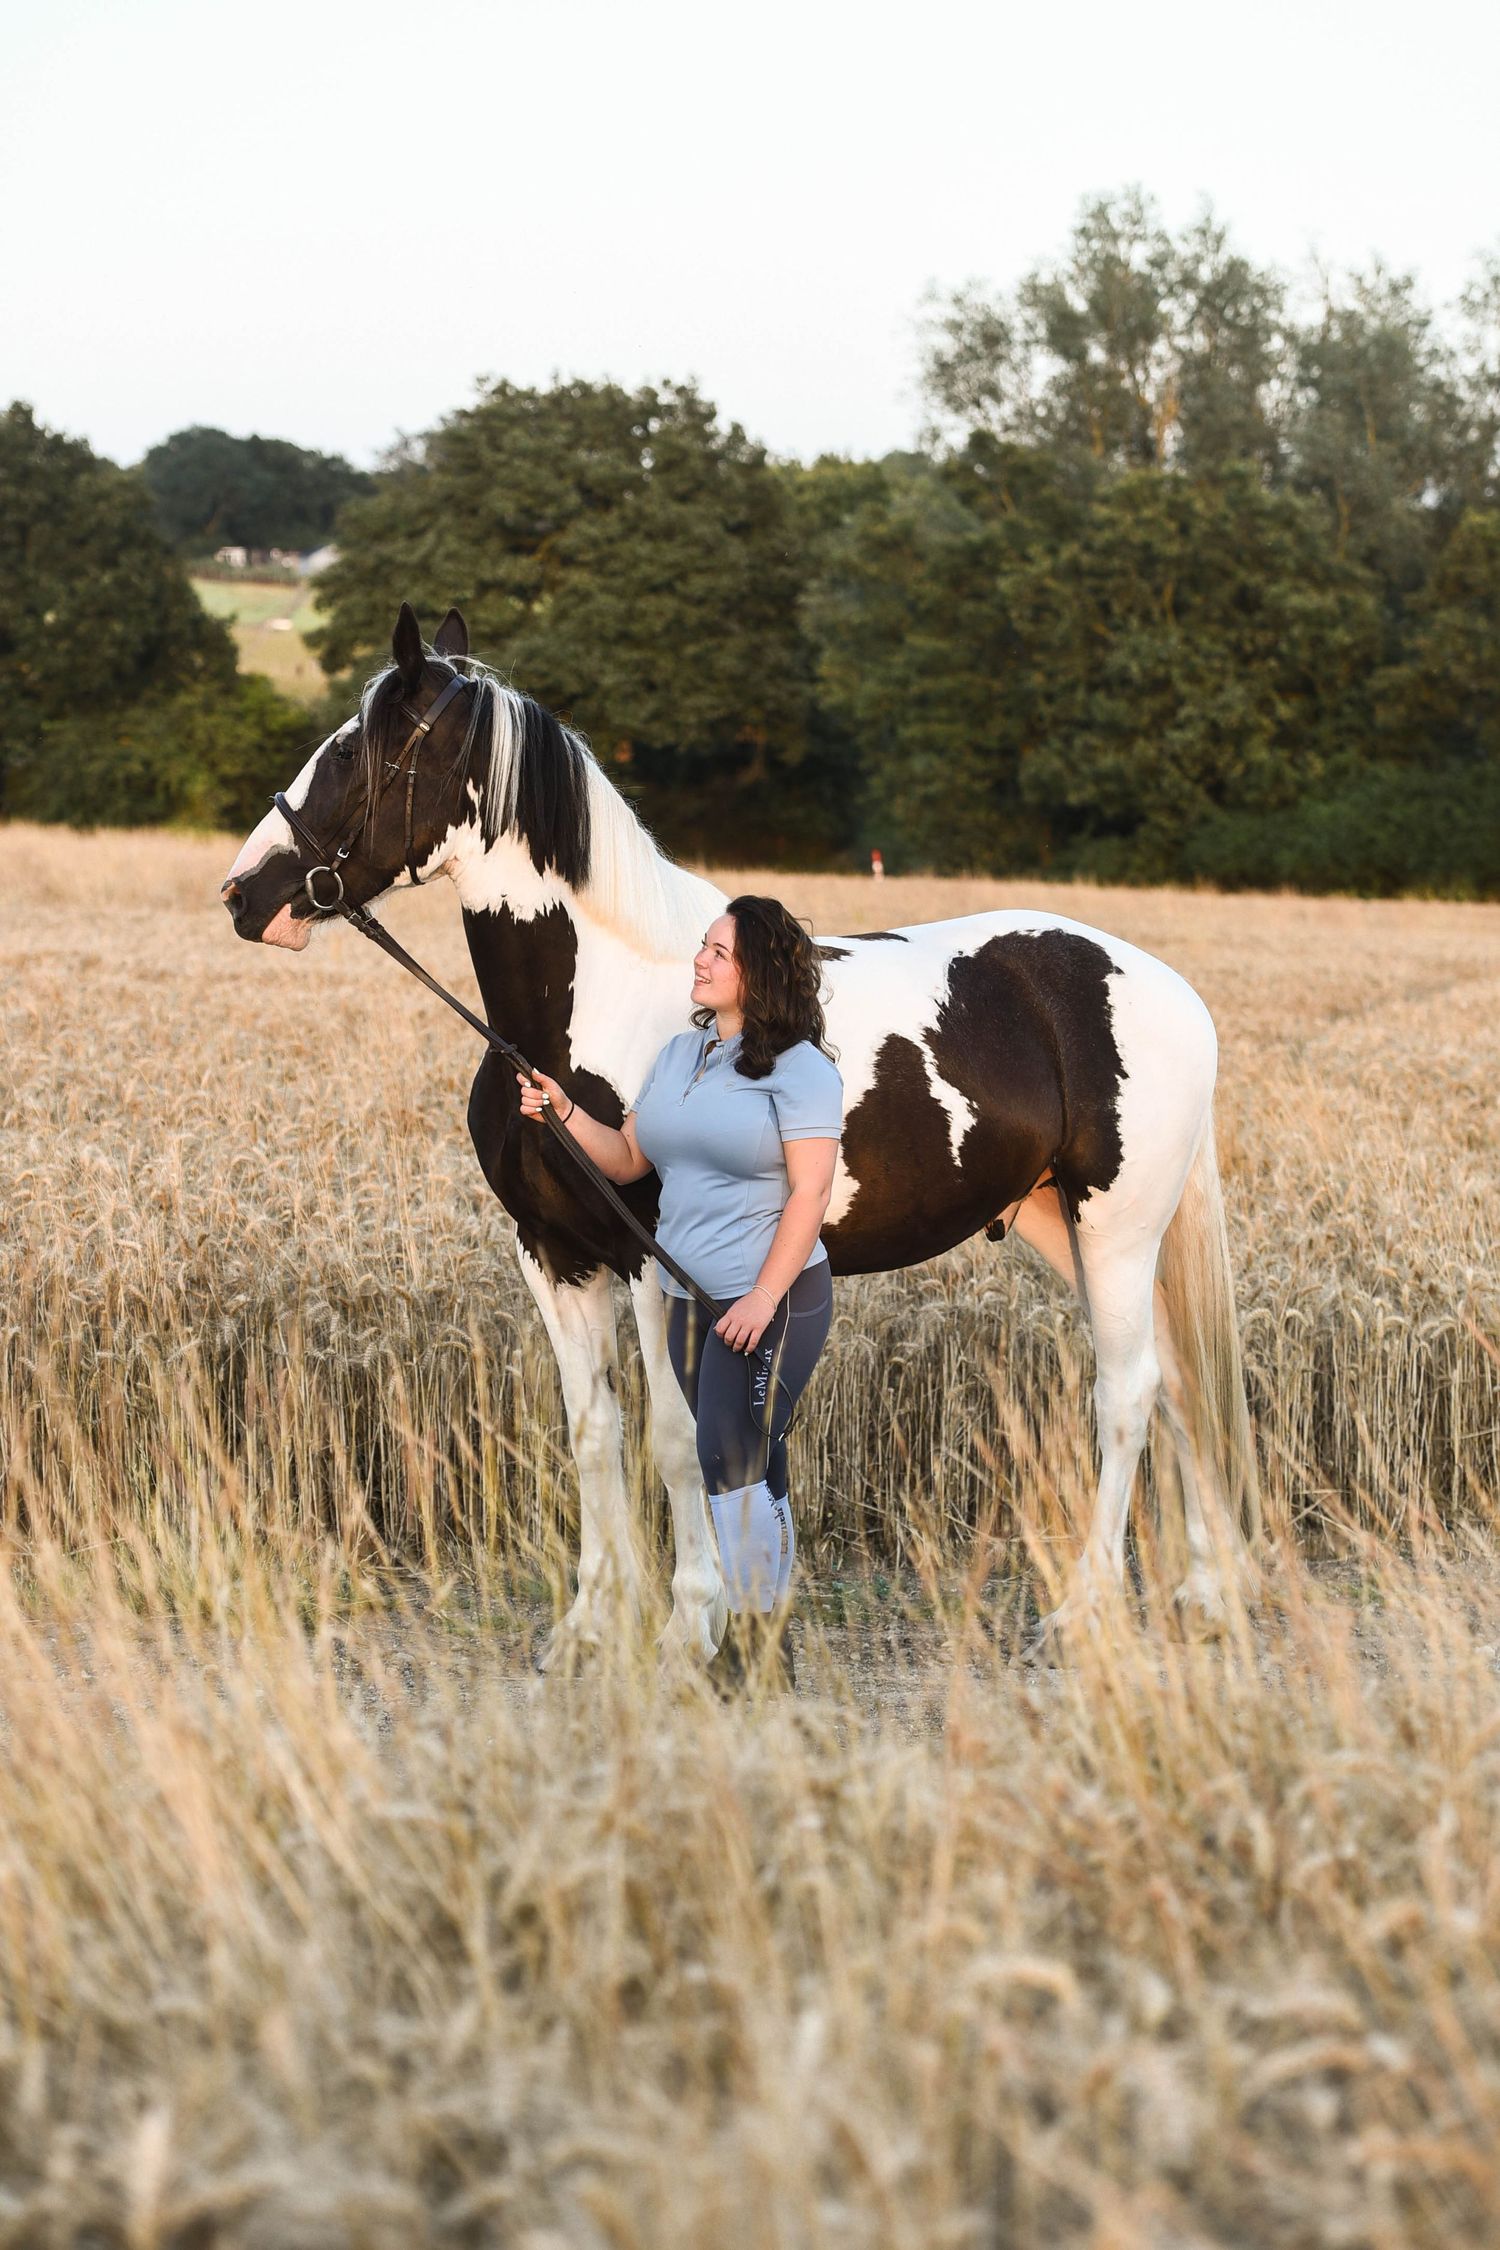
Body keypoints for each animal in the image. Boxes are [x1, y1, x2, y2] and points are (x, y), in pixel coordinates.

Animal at [222, 602, 1260, 1667]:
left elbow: (680, 1440)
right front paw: (590, 1627)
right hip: (1062, 1225)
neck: (578, 1018)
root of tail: (1165, 988)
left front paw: (691, 1624)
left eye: (359, 748)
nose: (245, 896)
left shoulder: (654, 1263)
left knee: (1129, 1392)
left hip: (1118, 1228)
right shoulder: (551, 1254)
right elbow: (593, 1432)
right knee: (1183, 1383)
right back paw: (1207, 1597)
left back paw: (1084, 1609)